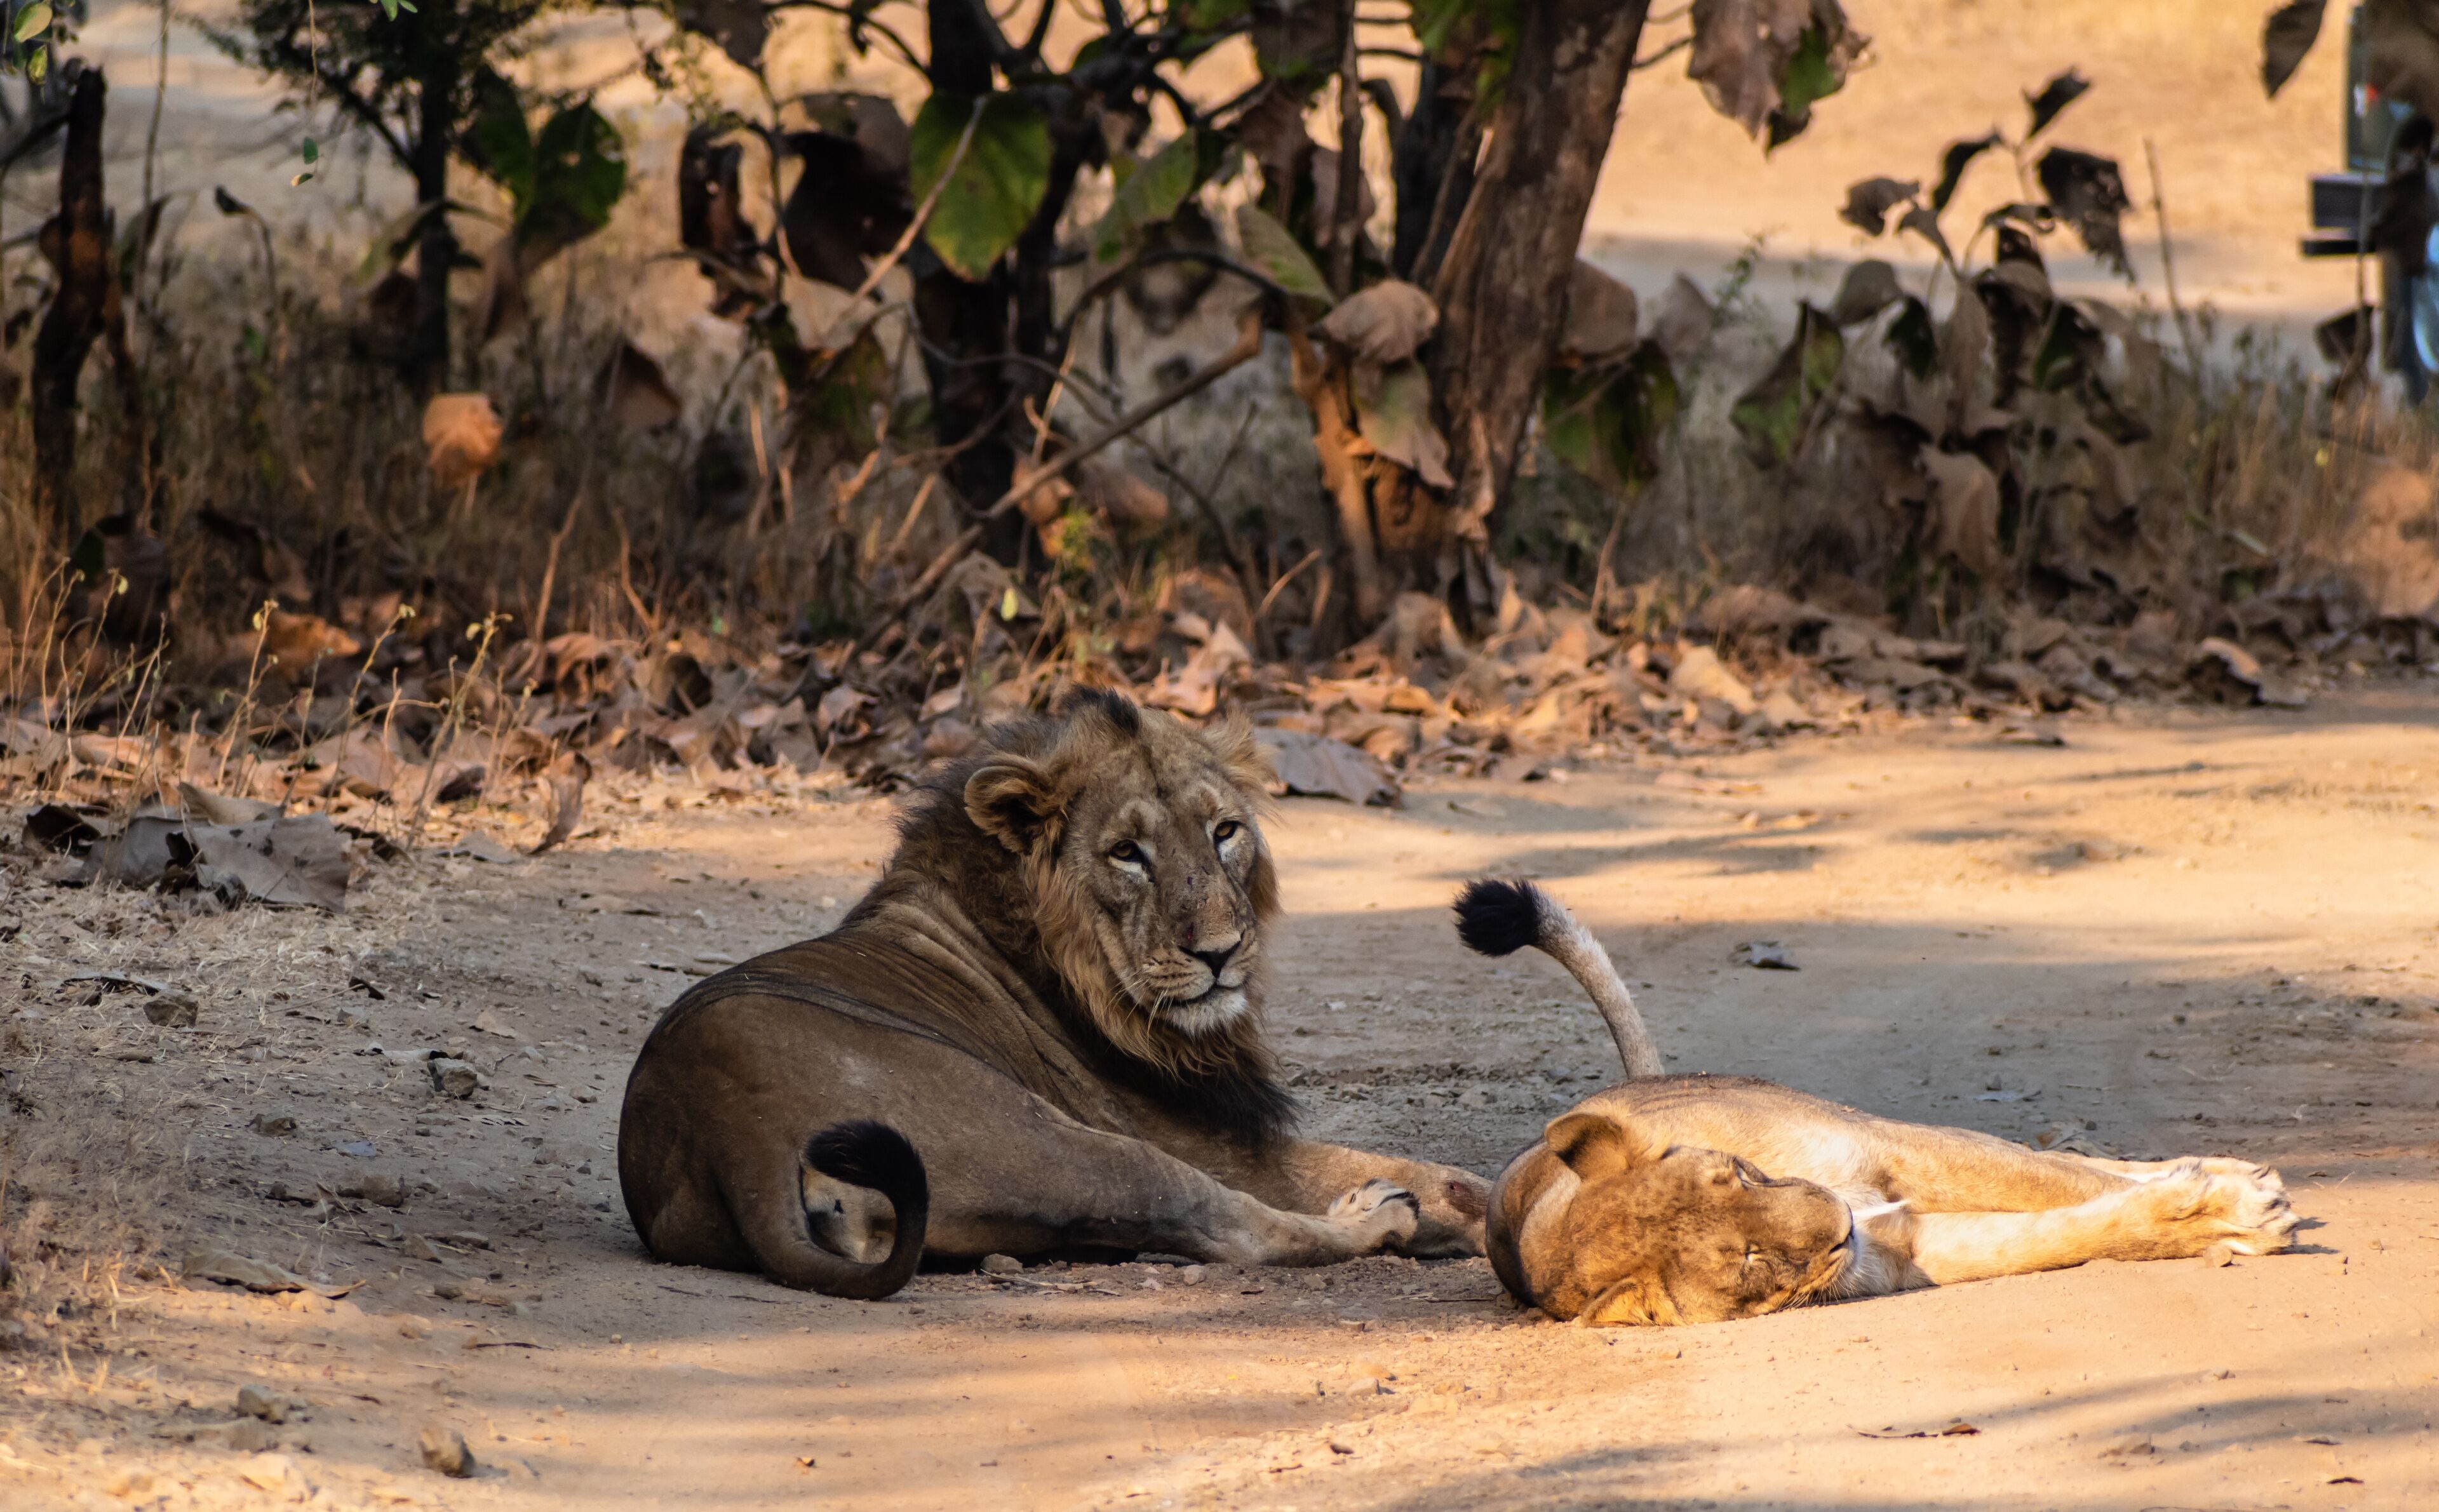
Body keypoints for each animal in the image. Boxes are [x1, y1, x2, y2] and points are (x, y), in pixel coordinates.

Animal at [616, 691, 1489, 1298]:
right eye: (1127, 852)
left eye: (1225, 833)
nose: (1219, 951)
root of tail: (731, 1130)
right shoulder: (1194, 1130)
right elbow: (1377, 1163)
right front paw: (1463, 1209)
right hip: (1064, 1142)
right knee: (1235, 1227)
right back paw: (1378, 1215)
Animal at [1456, 879, 2300, 1325]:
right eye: (1748, 1259)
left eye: (1736, 1174)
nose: (1838, 1221)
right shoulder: (1898, 1251)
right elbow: (2064, 1229)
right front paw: (2220, 1217)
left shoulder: (1894, 1148)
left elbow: (2064, 1180)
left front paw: (2232, 1198)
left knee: (2077, 1158)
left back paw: (2229, 1165)